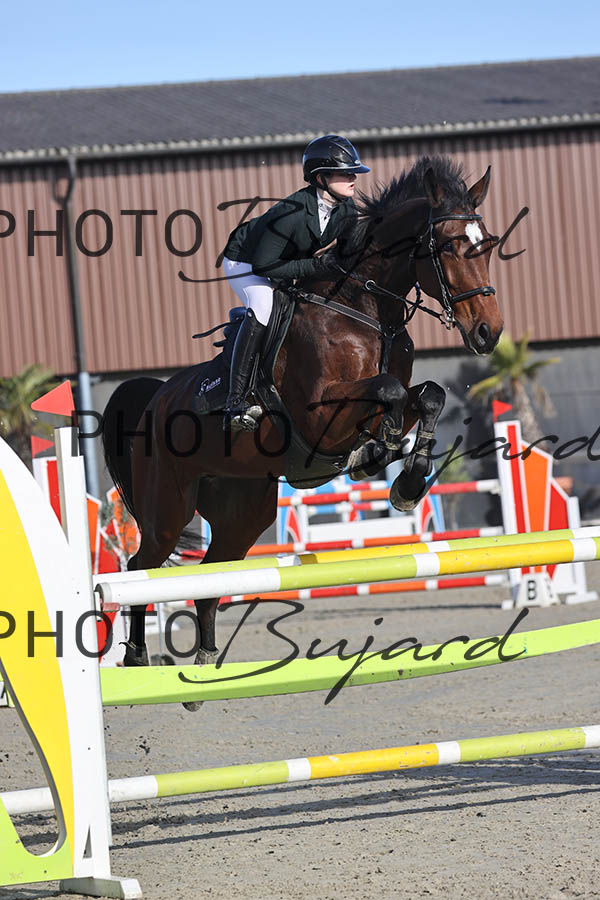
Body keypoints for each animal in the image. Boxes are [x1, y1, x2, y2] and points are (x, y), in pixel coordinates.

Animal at [102, 155, 503, 699]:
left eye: (489, 244)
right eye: (449, 247)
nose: (489, 332)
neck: (365, 308)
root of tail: (155, 398)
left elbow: (428, 395)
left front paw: (406, 480)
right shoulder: (318, 417)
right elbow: (391, 393)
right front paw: (378, 453)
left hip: (243, 509)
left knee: (209, 576)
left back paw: (205, 665)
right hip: (167, 507)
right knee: (142, 568)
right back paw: (137, 658)